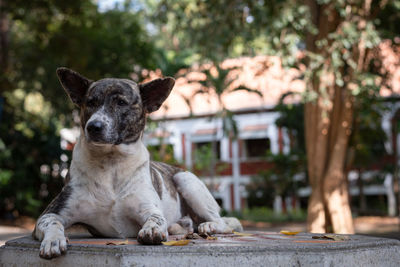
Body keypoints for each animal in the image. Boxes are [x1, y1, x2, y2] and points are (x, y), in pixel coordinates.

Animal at [32, 68, 242, 260]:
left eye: (121, 102)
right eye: (90, 102)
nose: (93, 127)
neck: (111, 163)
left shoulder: (149, 209)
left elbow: (156, 219)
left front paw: (152, 229)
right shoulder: (52, 213)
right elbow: (52, 222)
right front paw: (53, 240)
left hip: (186, 180)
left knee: (223, 223)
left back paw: (209, 226)